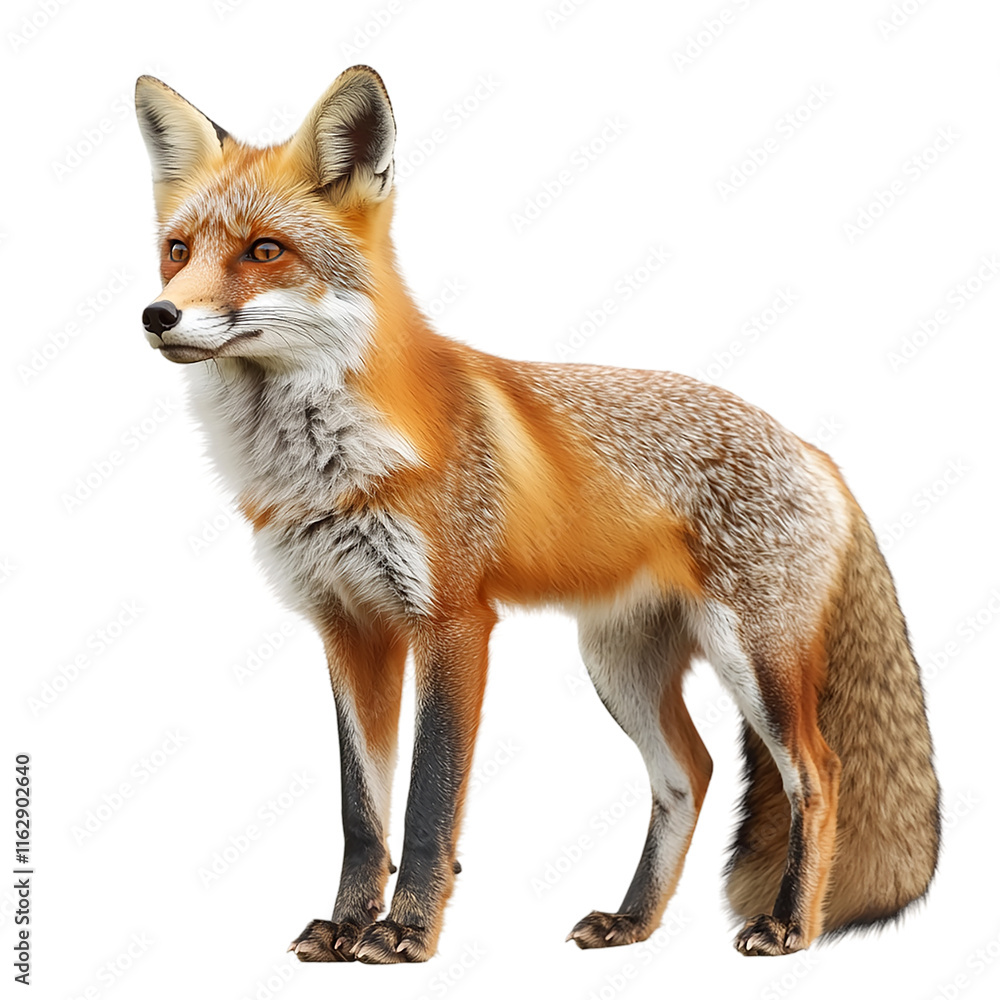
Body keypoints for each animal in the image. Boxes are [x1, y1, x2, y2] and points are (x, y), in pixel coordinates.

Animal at [135, 66, 940, 964]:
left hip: (755, 660)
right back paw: (633, 922)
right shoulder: (349, 626)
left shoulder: (452, 622)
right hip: (619, 666)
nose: (158, 315)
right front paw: (345, 927)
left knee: (818, 774)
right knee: (688, 774)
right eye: (178, 250)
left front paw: (404, 931)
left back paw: (790, 925)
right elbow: (360, 811)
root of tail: (813, 449)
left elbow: (427, 802)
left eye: (264, 251)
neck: (329, 467)